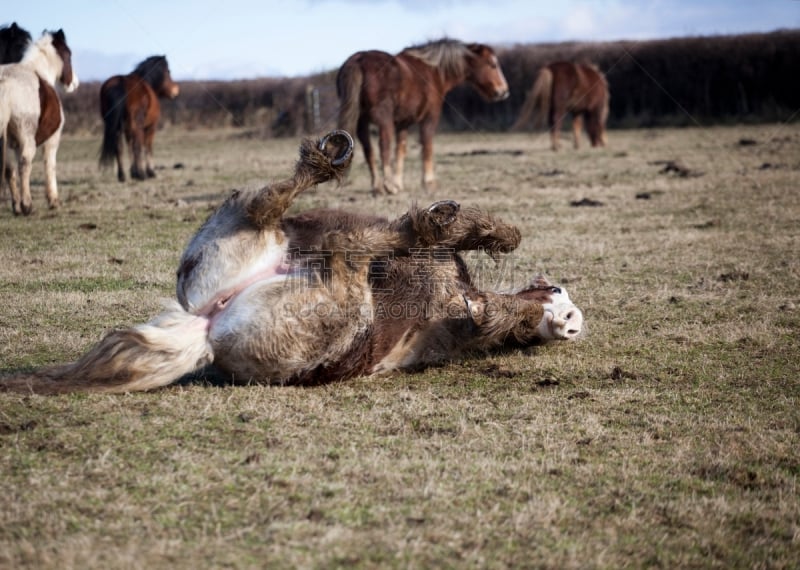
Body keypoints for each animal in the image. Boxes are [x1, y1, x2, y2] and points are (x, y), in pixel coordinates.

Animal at [0, 26, 79, 215]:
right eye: (69, 54)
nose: (74, 83)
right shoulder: (52, 140)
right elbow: (50, 166)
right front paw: (53, 201)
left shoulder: (12, 144)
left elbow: (10, 172)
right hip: (27, 140)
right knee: (24, 164)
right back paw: (27, 205)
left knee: (10, 170)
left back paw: (18, 207)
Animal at [3, 131, 584, 392]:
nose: (566, 315)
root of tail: (206, 326)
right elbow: (487, 236)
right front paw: (495, 234)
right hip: (241, 229)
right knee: (276, 203)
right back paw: (333, 157)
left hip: (338, 295)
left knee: (345, 241)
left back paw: (342, 167)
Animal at [336, 38, 510, 195]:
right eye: (492, 64)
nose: (503, 91)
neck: (434, 71)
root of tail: (359, 60)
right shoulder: (430, 118)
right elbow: (427, 147)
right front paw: (428, 183)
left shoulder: (403, 123)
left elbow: (400, 150)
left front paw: (399, 183)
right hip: (383, 118)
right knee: (383, 147)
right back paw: (388, 186)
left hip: (362, 121)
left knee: (368, 151)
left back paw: (377, 186)